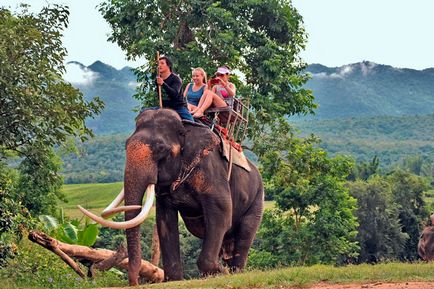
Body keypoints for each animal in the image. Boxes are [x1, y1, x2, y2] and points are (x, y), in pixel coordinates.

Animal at [79, 108, 264, 286]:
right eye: (125, 145)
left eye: (161, 149)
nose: (135, 282)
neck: (186, 127)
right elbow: (164, 221)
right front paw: (175, 279)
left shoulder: (211, 170)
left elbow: (221, 212)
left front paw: (220, 273)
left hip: (257, 198)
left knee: (245, 233)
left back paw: (234, 271)